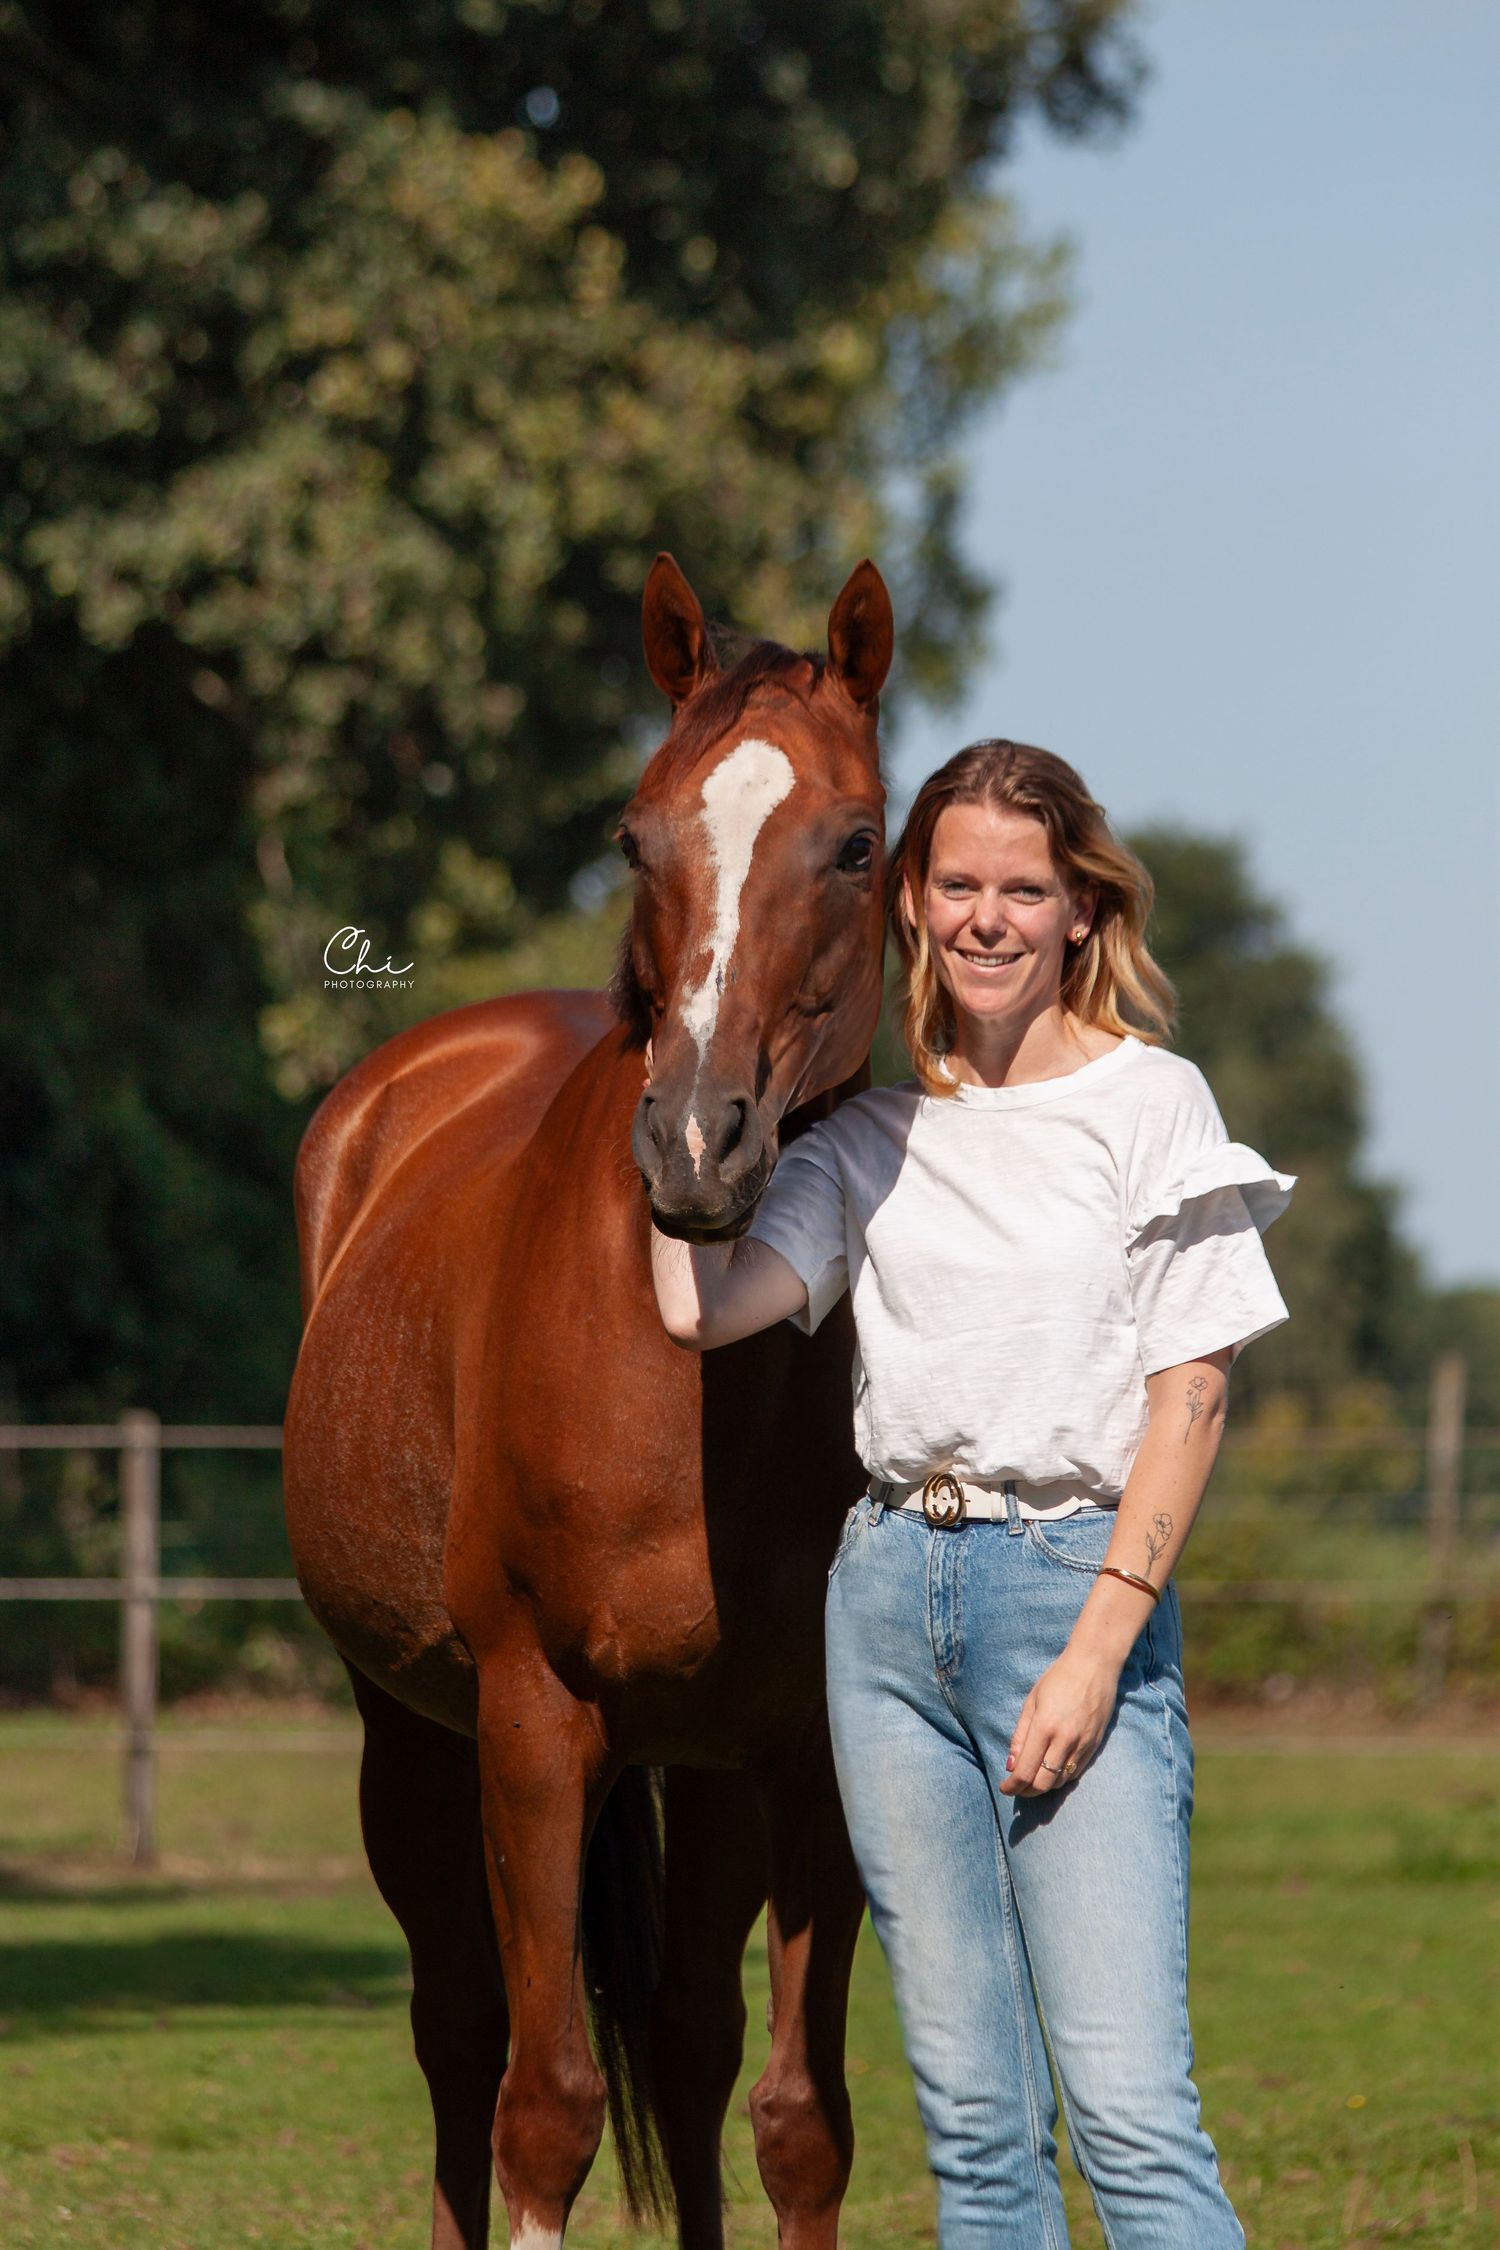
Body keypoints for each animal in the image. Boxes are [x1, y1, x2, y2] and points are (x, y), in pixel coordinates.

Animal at [282, 552, 893, 2250]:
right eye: (635, 835)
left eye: (857, 840)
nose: (697, 1144)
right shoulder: (535, 1724)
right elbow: (542, 2107)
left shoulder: (805, 1755)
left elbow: (797, 2121)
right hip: (413, 1739)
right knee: (462, 2037)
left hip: (700, 1770)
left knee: (685, 2039)